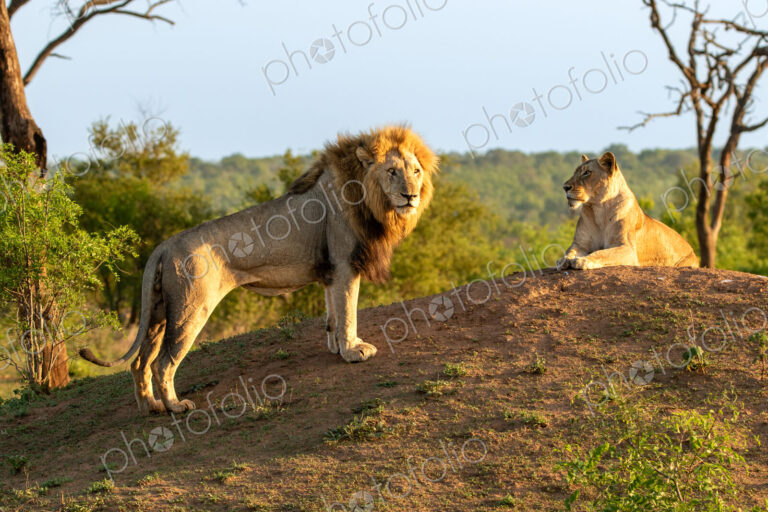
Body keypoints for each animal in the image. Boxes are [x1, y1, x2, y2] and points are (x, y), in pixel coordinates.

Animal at [80, 126, 439, 414]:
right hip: (191, 308)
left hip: (157, 311)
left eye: (416, 171)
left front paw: (337, 347)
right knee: (163, 362)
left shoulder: (331, 271)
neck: (369, 198)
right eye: (392, 172)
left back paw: (150, 407)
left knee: (140, 362)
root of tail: (164, 246)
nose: (411, 196)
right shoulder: (345, 263)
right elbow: (348, 310)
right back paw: (175, 407)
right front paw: (353, 351)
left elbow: (333, 314)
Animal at [557, 152, 698, 271]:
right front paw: (563, 260)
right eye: (575, 172)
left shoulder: (627, 248)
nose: (565, 187)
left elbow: (603, 253)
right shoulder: (580, 244)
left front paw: (583, 260)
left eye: (587, 172)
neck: (599, 209)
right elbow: (570, 252)